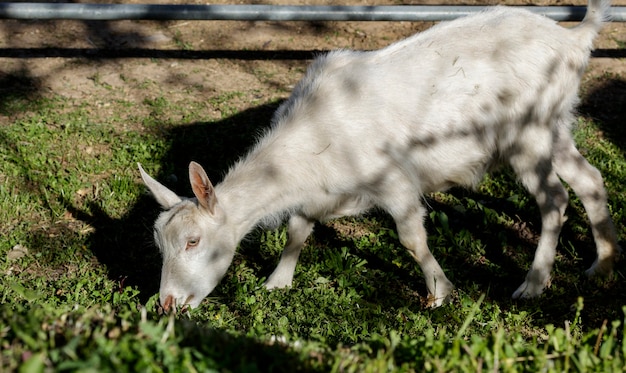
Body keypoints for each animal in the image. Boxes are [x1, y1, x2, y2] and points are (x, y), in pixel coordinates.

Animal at [138, 0, 620, 312]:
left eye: (193, 241)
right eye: (159, 243)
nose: (166, 304)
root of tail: (572, 39)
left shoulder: (395, 182)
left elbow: (411, 239)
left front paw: (440, 292)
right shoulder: (318, 190)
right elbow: (298, 230)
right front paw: (278, 282)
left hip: (529, 133)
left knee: (554, 199)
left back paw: (533, 285)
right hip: (557, 124)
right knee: (590, 179)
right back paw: (603, 264)